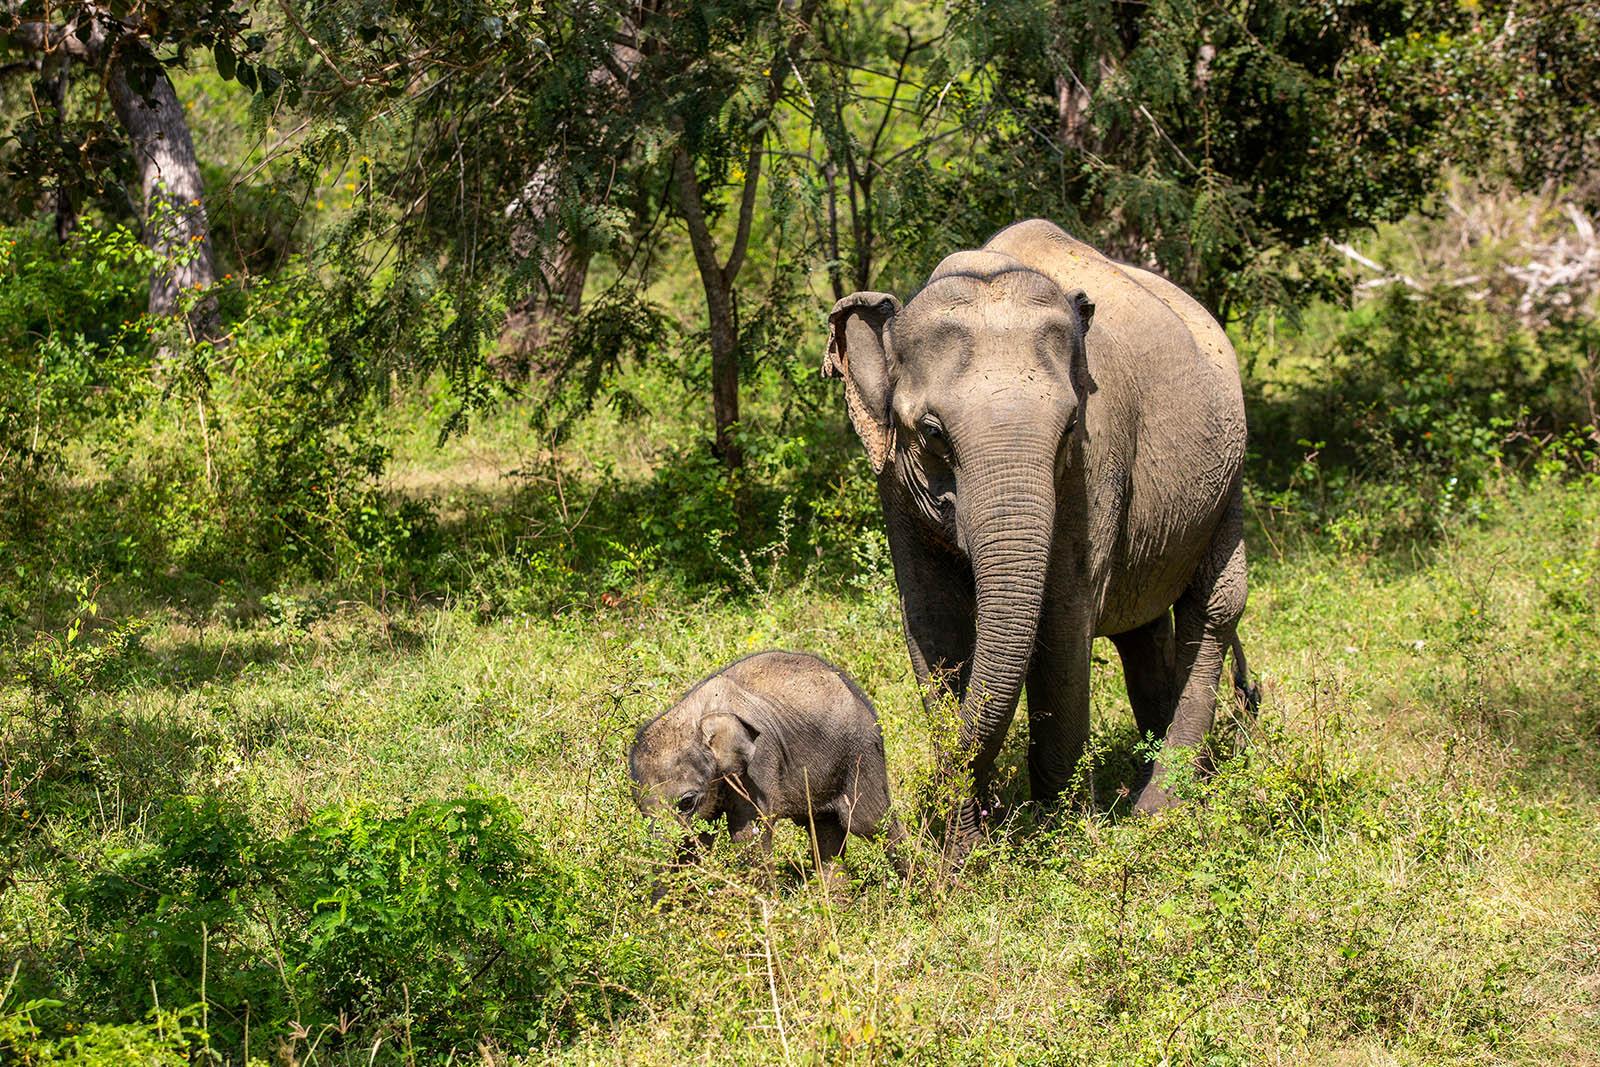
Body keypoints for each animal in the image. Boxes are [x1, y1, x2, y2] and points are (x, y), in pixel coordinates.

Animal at [624, 652, 902, 883]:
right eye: (640, 809)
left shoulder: (759, 763)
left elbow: (748, 835)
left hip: (861, 753)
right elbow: (697, 842)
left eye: (686, 802)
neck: (700, 716)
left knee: (870, 823)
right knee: (825, 828)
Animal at [825, 219, 1260, 831]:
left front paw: (1062, 835)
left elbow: (1063, 621)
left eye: (1071, 426)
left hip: (1231, 474)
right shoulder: (893, 481)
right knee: (1142, 627)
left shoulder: (1093, 465)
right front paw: (967, 843)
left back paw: (1157, 808)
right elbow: (933, 623)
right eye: (932, 433)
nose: (918, 818)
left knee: (1215, 606)